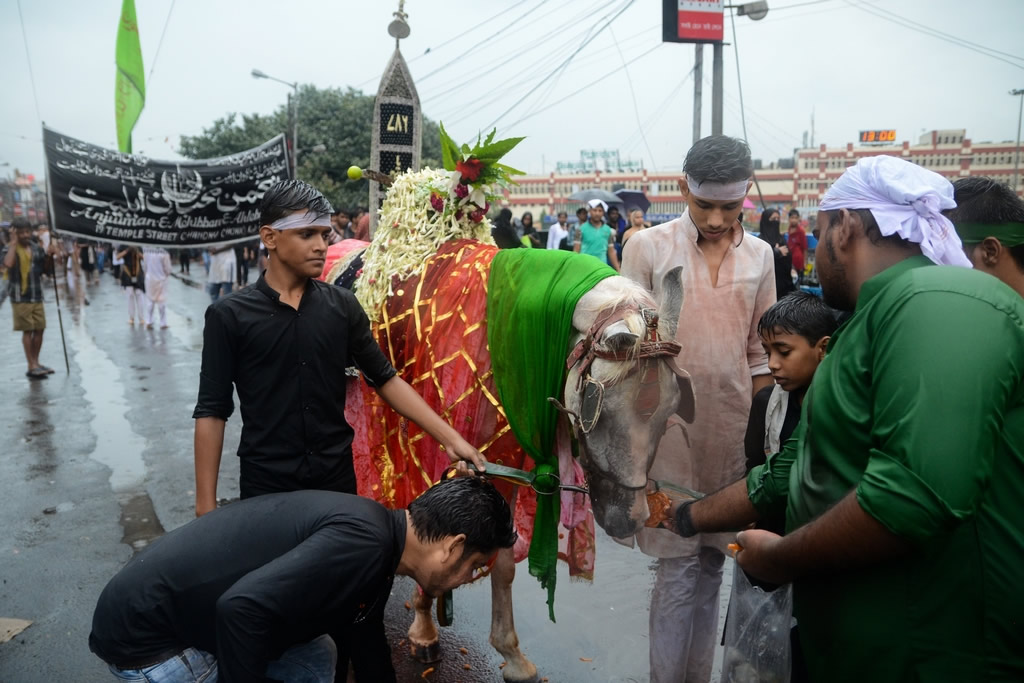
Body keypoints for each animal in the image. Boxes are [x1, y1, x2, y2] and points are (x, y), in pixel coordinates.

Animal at [323, 129, 692, 683]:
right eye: (599, 411)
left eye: (670, 411)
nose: (631, 518)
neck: (517, 331)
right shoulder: (446, 445)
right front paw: (427, 625)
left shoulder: (510, 458)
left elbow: (499, 553)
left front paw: (510, 652)